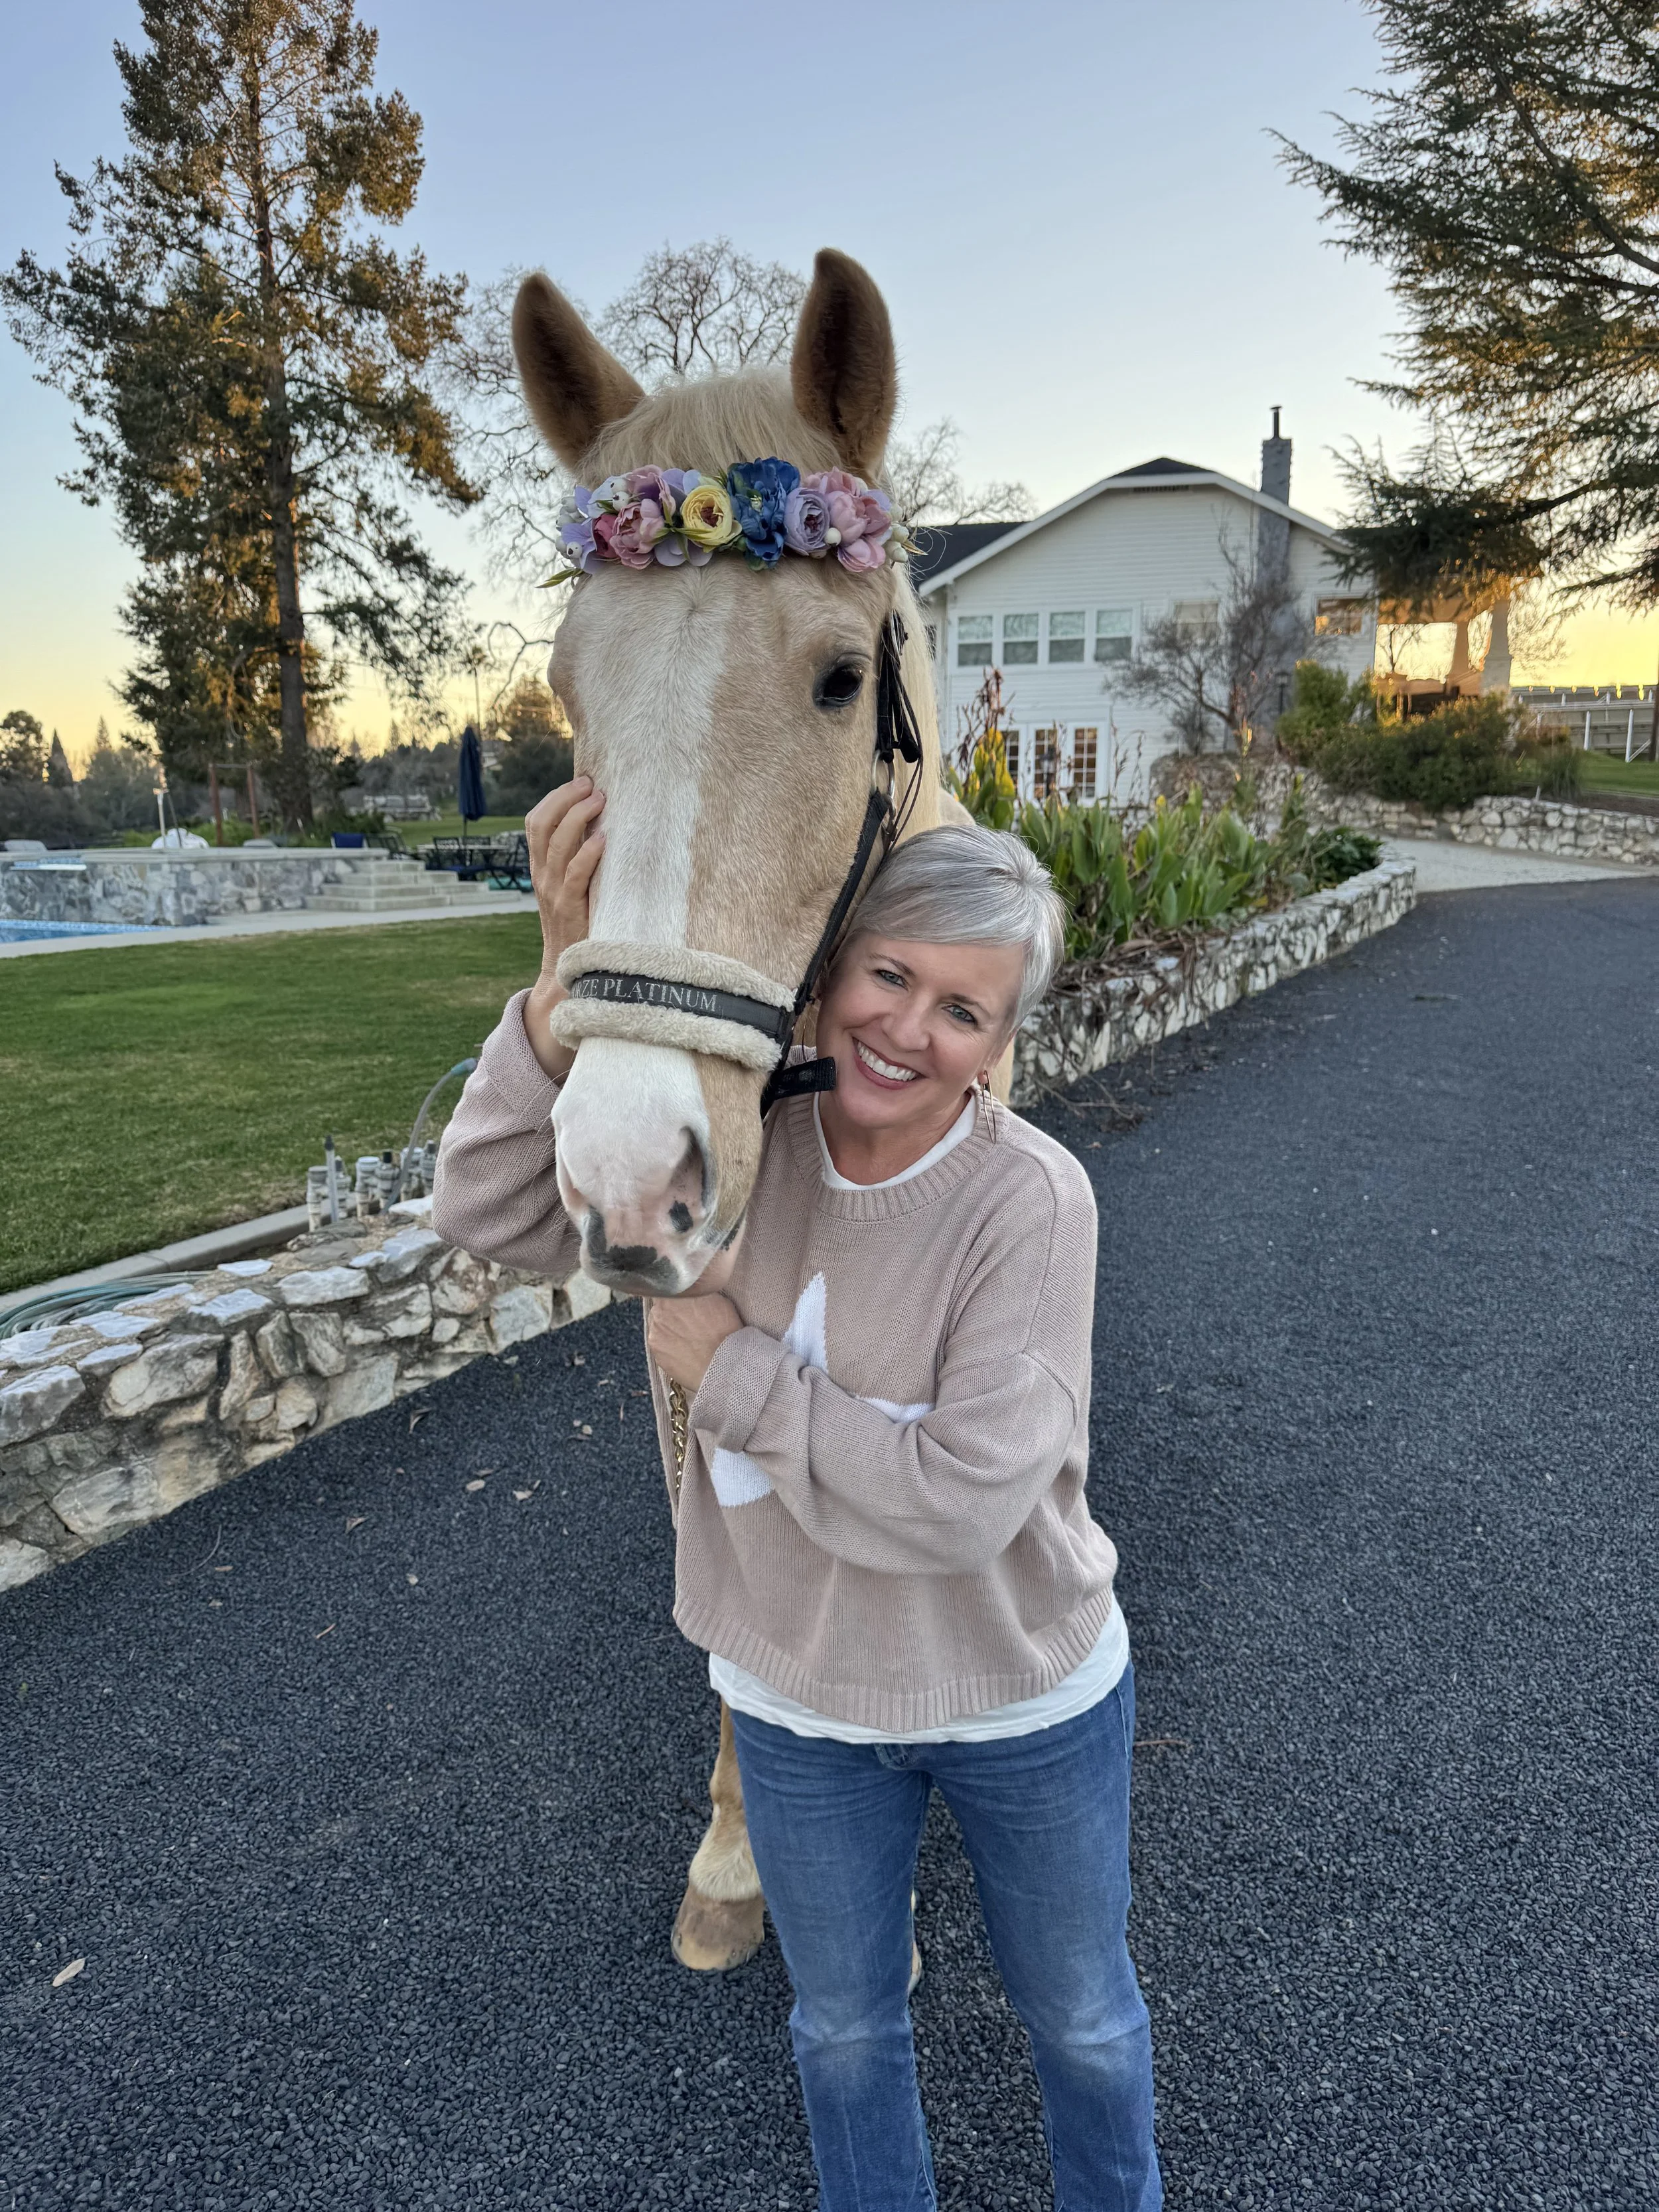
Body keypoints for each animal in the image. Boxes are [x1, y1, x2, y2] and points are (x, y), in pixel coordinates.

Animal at [512, 248, 949, 1971]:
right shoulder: (677, 1327)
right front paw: (736, 1842)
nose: (629, 1176)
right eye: (566, 691)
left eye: (838, 679)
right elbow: (722, 1564)